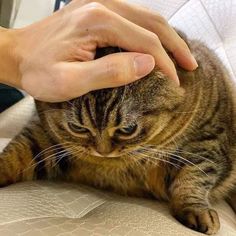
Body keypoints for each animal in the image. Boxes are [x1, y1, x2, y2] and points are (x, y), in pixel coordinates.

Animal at [0, 33, 236, 234]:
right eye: (78, 128)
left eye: (127, 129)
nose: (102, 152)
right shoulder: (43, 137)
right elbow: (15, 154)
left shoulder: (210, 138)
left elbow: (195, 174)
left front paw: (195, 209)